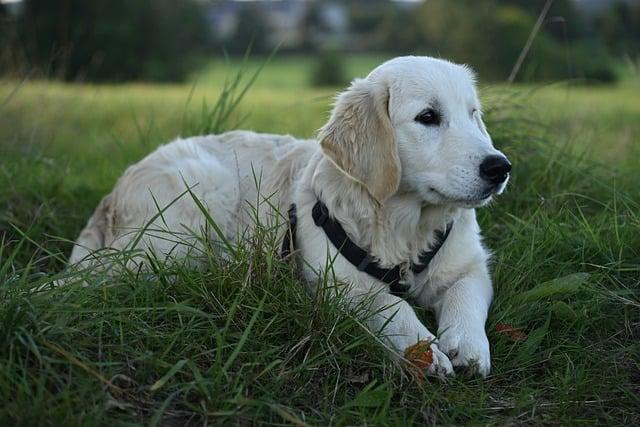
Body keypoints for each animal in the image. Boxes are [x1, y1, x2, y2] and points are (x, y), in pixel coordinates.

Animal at [70, 56, 510, 378]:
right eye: (428, 117)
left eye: (473, 114)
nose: (499, 167)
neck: (407, 224)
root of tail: (114, 191)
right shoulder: (341, 284)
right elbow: (390, 306)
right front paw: (425, 350)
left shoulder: (469, 265)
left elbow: (467, 298)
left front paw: (468, 347)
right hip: (187, 213)